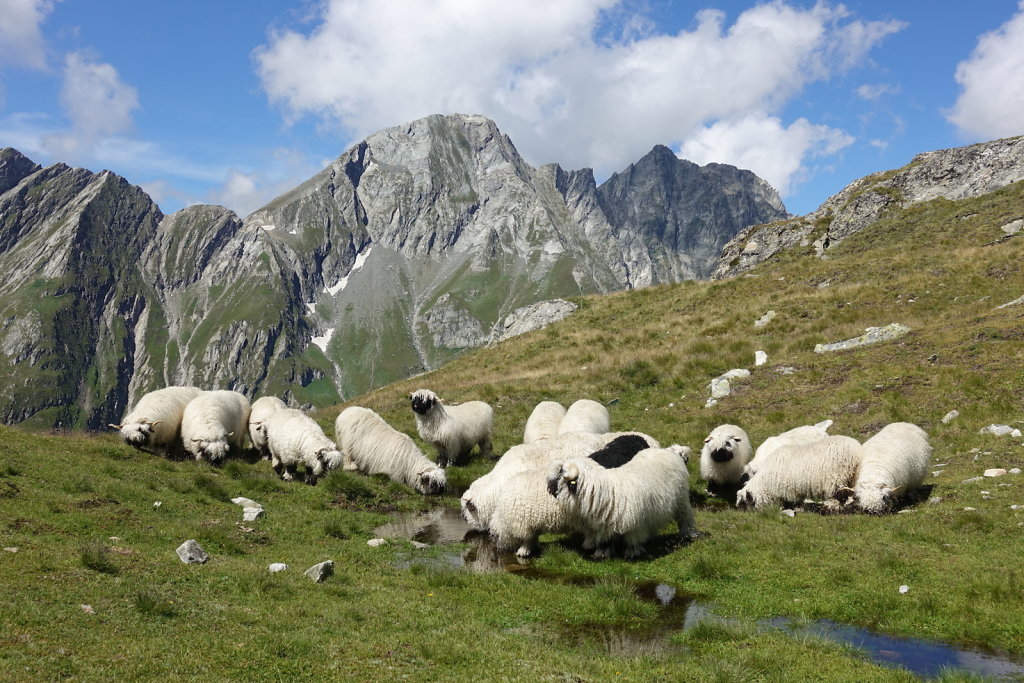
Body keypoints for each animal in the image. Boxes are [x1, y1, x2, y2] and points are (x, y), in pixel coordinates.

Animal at [548, 444, 700, 561]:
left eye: (560, 474)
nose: (549, 488)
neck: (604, 489)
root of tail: (669, 451)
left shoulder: (635, 522)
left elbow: (633, 540)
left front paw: (632, 554)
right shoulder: (603, 523)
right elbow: (604, 541)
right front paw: (601, 554)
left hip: (681, 499)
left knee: (685, 517)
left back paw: (689, 534)